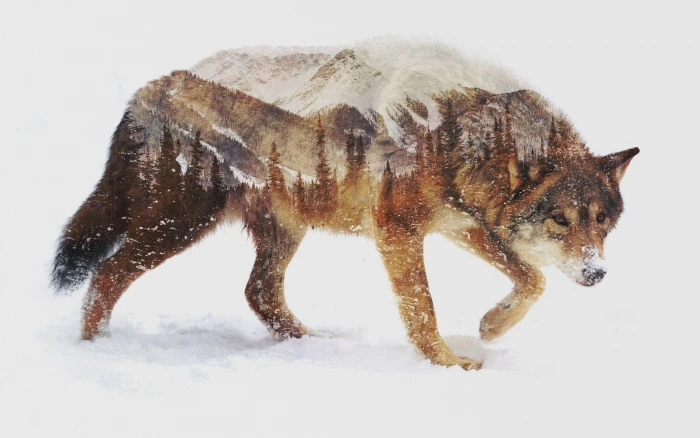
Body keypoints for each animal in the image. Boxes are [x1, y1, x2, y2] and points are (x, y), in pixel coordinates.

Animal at [51, 39, 638, 370]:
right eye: (560, 219)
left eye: (602, 223)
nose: (596, 274)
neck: (456, 130)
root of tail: (148, 91)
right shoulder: (397, 230)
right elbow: (422, 310)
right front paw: (449, 365)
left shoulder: (460, 225)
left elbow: (532, 280)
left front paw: (491, 326)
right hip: (176, 227)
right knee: (105, 275)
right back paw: (97, 351)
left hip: (282, 232)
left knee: (258, 292)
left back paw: (312, 345)